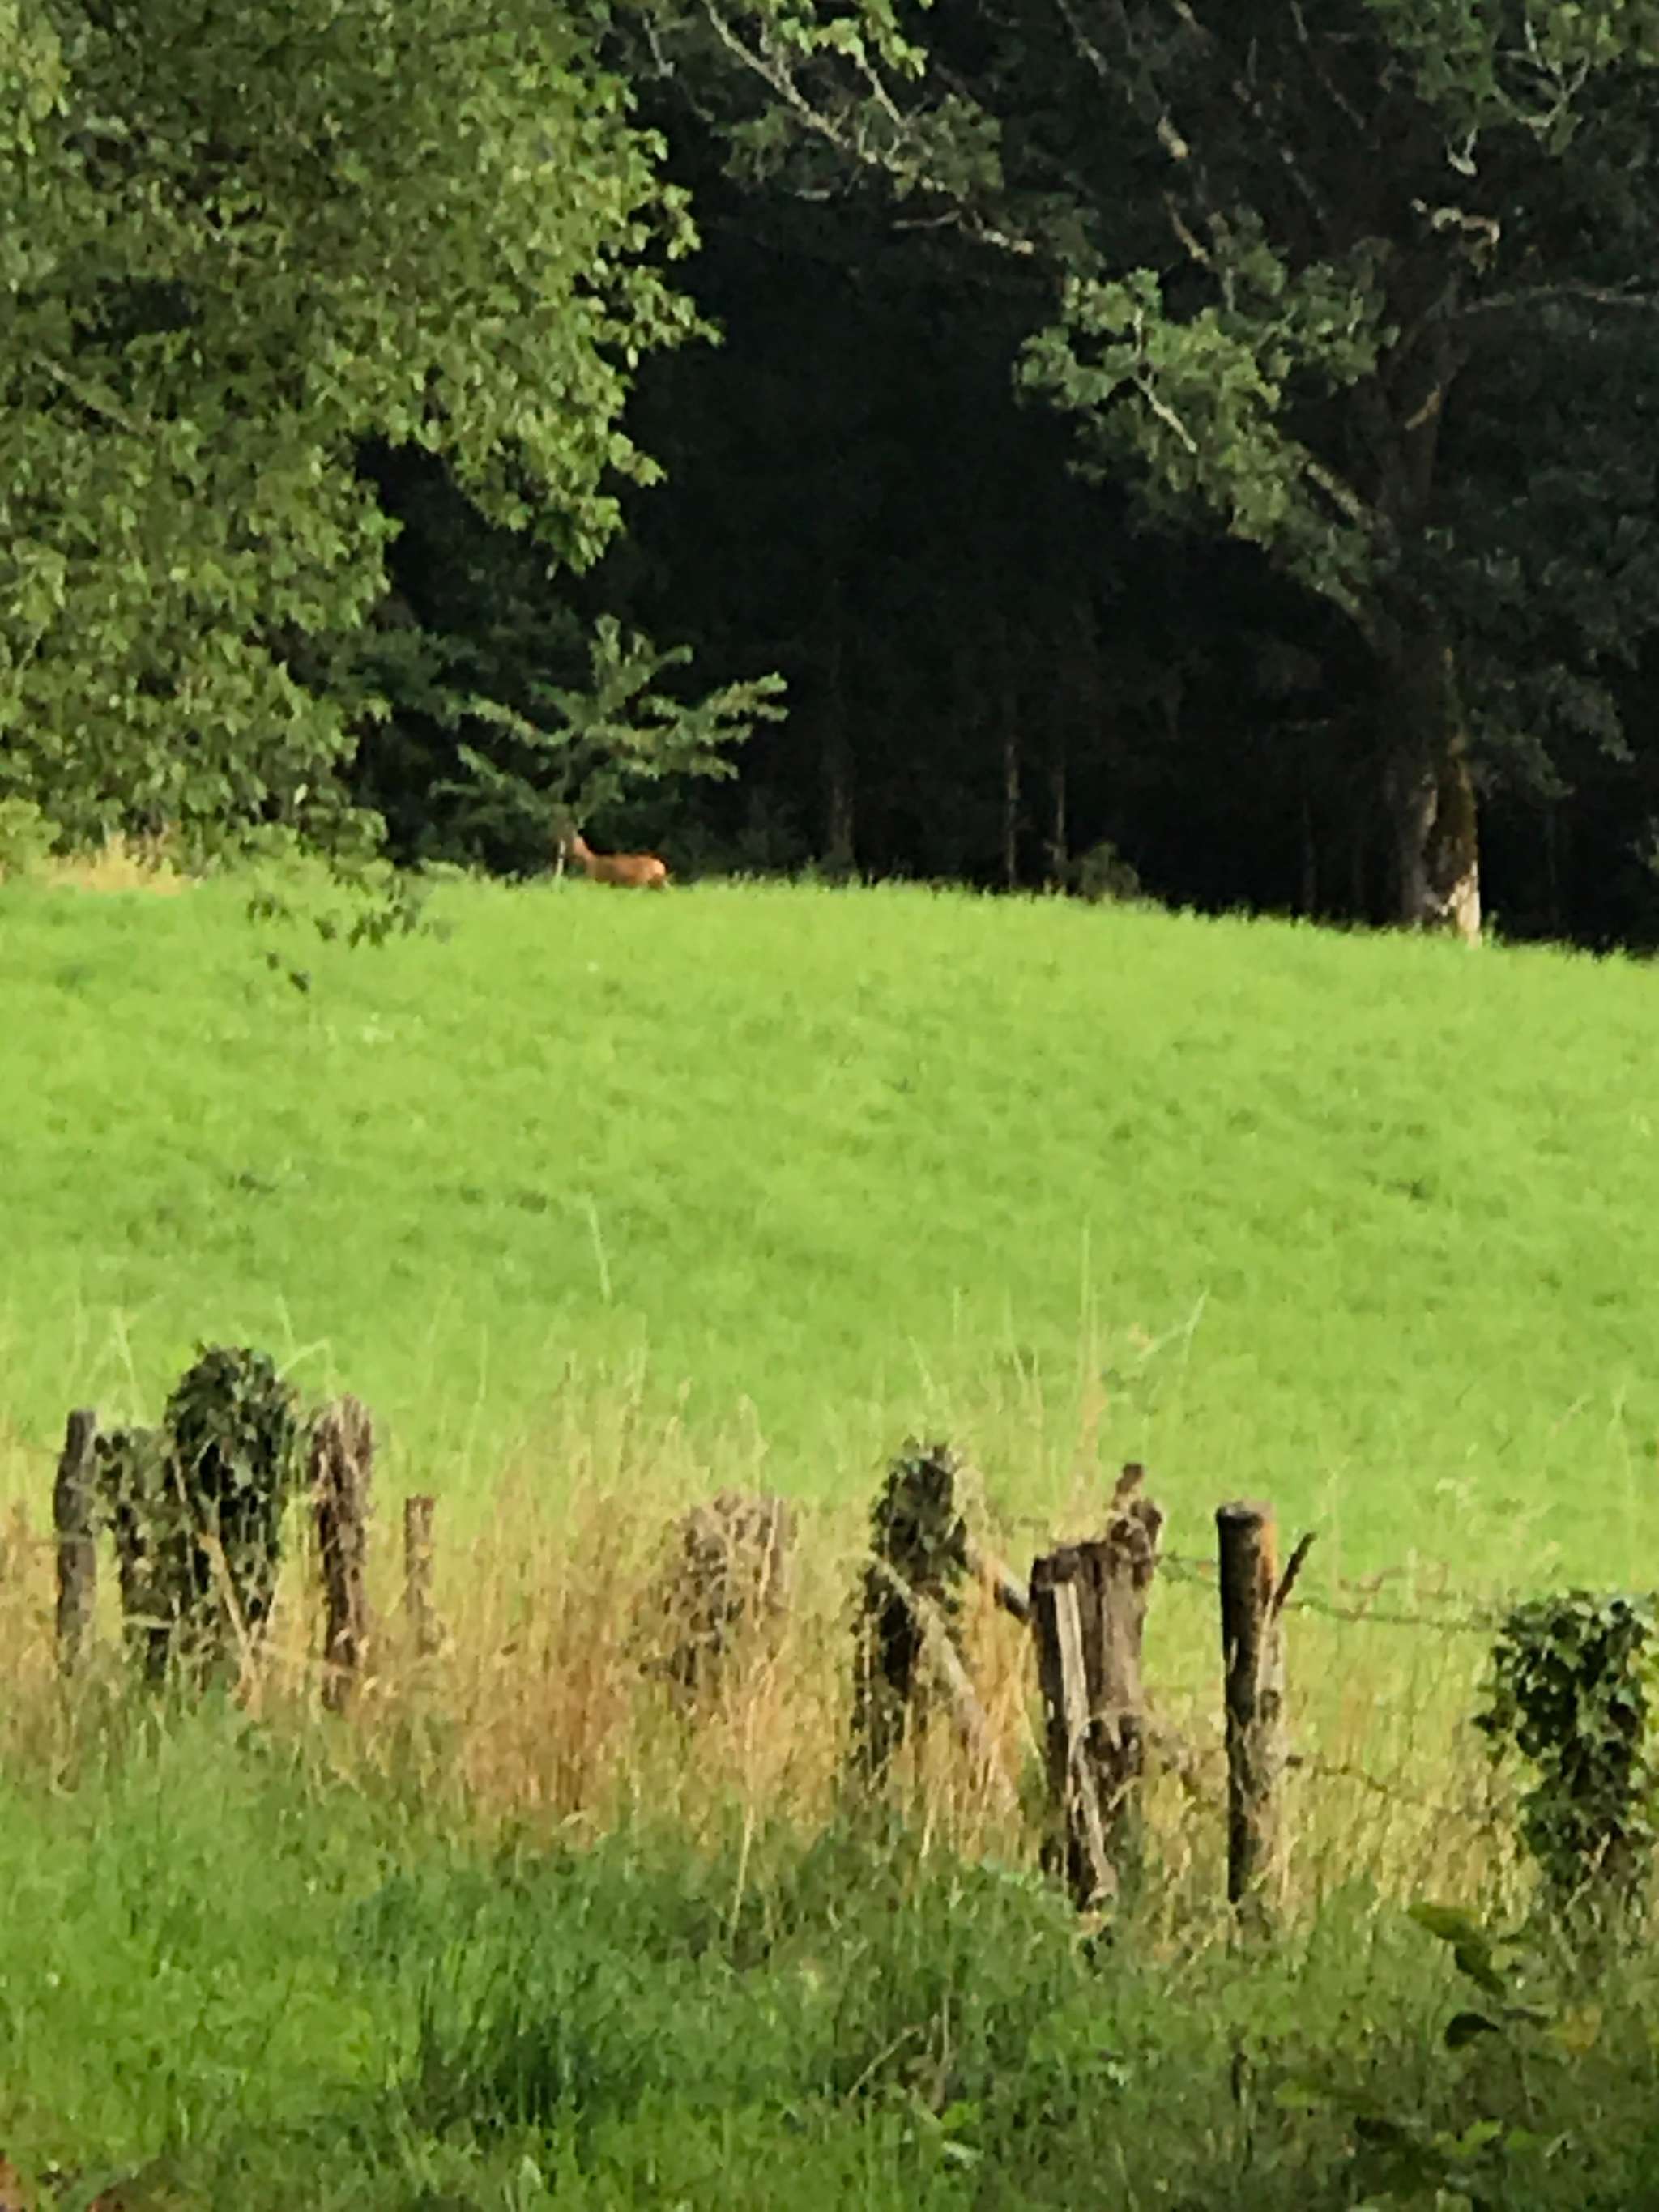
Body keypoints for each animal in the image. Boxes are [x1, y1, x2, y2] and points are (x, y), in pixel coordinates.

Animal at [560, 829, 670, 890]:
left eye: (575, 843)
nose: (562, 854)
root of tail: (661, 866)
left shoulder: (592, 878)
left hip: (641, 880)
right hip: (656, 881)